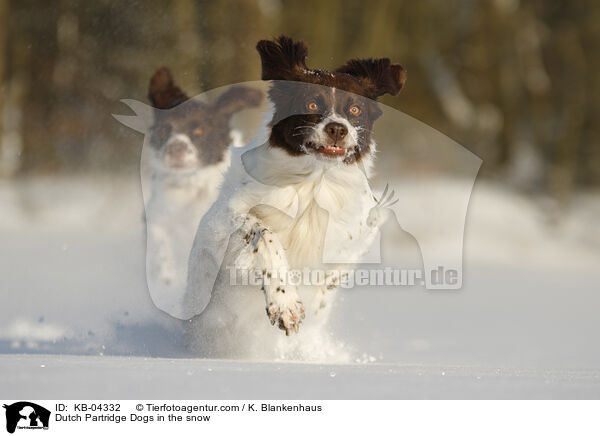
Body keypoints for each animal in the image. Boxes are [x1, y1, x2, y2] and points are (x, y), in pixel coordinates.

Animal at [185, 35, 406, 360]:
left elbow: (327, 283)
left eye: (354, 110)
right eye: (312, 103)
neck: (313, 182)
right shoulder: (223, 218)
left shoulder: (355, 238)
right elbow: (265, 234)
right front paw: (285, 304)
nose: (337, 129)